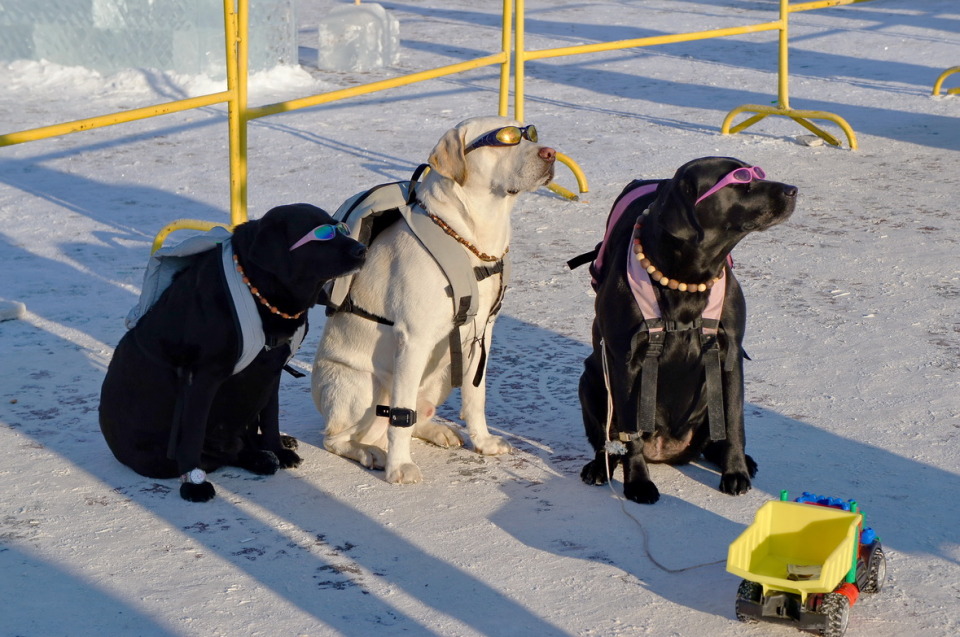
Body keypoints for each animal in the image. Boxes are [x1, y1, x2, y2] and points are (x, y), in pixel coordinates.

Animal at [98, 204, 364, 502]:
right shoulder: (204, 378)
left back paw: (269, 451)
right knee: (219, 454)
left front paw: (278, 449)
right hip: (158, 456)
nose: (362, 249)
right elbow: (192, 437)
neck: (258, 292)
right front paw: (194, 484)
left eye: (339, 228)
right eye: (322, 235)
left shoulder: (271, 370)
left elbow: (270, 418)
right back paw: (257, 459)